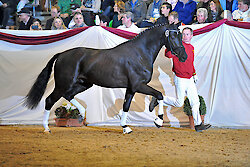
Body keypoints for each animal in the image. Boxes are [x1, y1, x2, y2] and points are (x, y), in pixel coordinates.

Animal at [24, 23, 188, 133]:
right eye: (174, 35)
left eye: (181, 35)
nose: (184, 56)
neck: (140, 53)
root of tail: (61, 54)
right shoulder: (138, 85)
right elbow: (159, 94)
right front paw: (158, 121)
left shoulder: (131, 88)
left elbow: (126, 106)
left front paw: (125, 127)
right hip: (63, 84)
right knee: (49, 100)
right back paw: (46, 128)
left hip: (84, 84)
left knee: (68, 95)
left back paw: (81, 114)